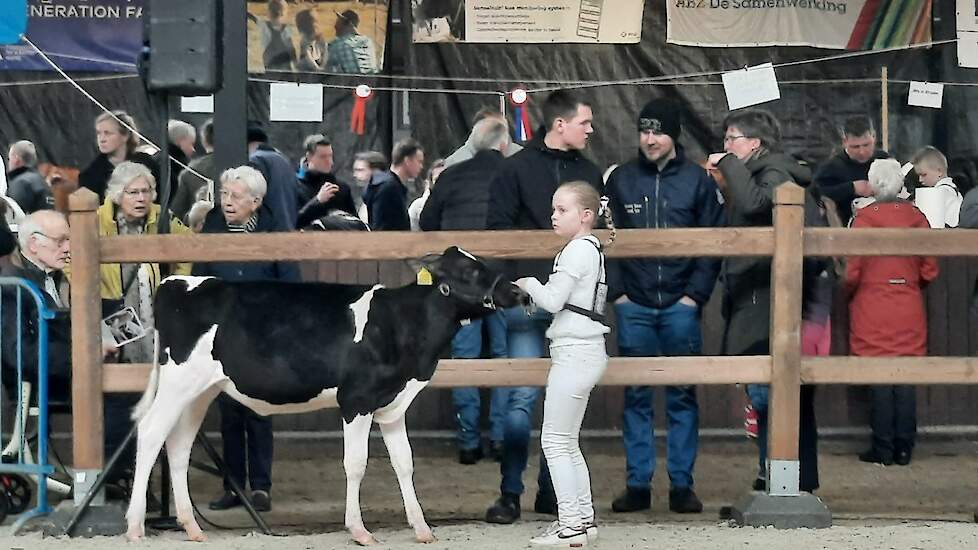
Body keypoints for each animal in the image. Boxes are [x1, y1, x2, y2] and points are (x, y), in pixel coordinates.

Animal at [127, 249, 532, 544]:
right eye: (468, 270)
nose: (518, 292)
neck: (404, 325)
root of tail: (177, 282)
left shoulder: (393, 405)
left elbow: (405, 463)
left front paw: (422, 529)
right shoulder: (356, 400)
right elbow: (356, 464)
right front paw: (360, 530)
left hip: (201, 390)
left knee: (178, 445)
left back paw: (192, 527)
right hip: (178, 382)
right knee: (150, 433)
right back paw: (134, 526)